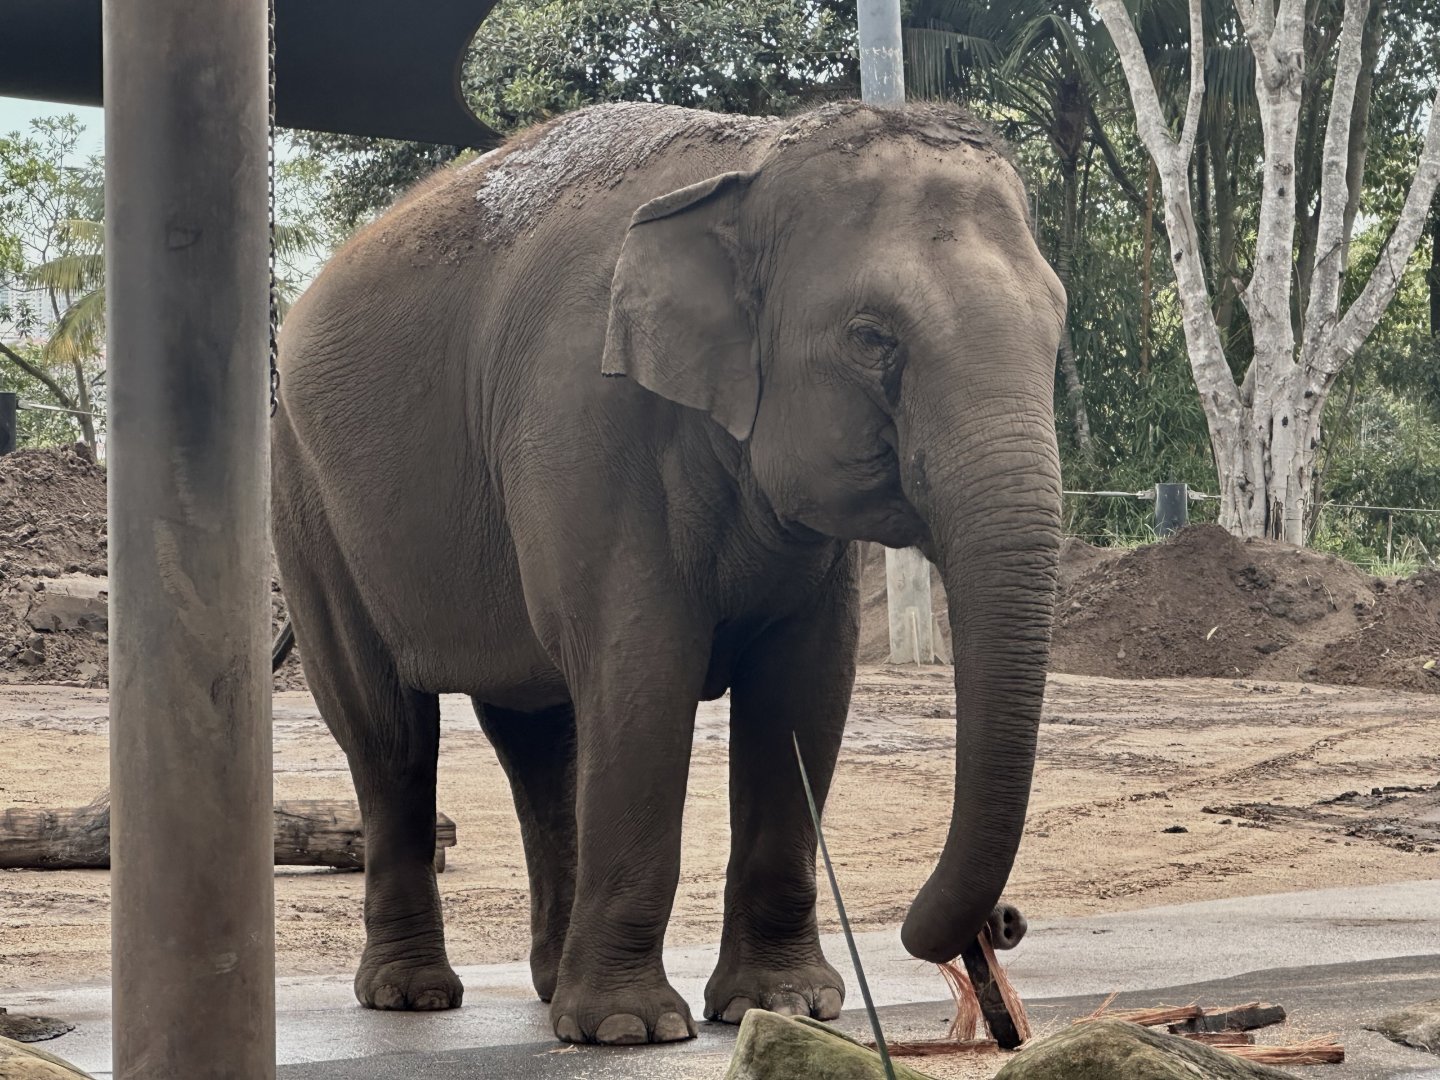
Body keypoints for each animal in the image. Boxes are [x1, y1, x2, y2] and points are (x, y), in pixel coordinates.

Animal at [271, 99, 1065, 1047]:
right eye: (872, 338)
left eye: (1059, 327)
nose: (1001, 926)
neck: (753, 157)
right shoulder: (582, 422)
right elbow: (643, 669)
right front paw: (630, 1028)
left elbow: (803, 686)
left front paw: (785, 1005)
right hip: (309, 506)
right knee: (387, 732)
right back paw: (413, 995)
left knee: (535, 735)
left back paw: (548, 984)